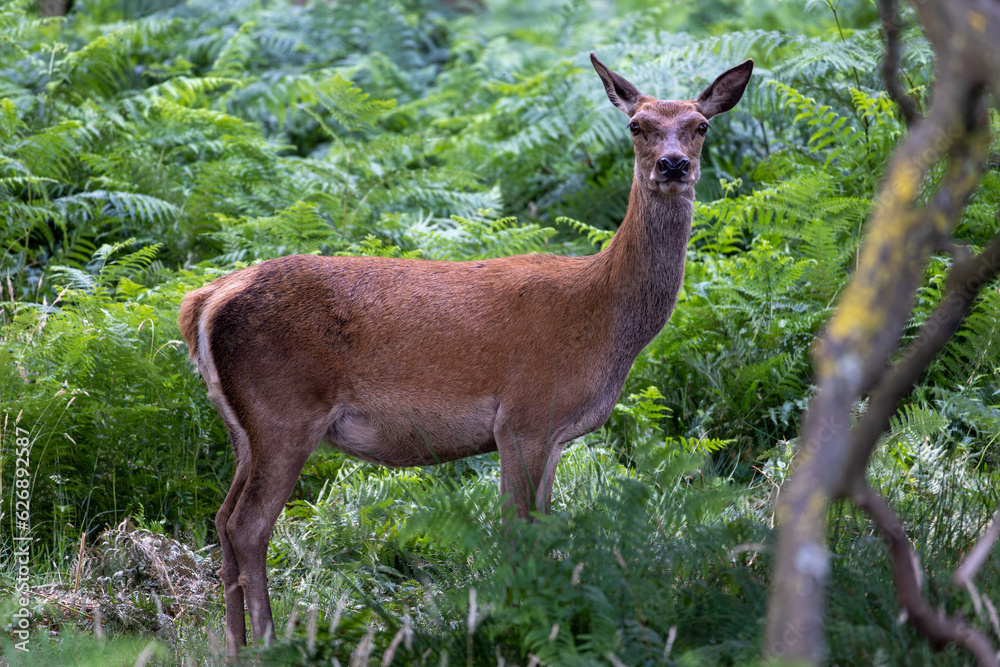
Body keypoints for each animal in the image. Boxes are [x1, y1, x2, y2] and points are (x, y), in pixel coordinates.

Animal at [178, 53, 752, 657]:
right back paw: (267, 643)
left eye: (700, 125)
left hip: (245, 426)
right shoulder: (524, 416)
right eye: (637, 125)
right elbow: (517, 533)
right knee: (248, 526)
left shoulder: (551, 433)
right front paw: (519, 628)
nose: (673, 164)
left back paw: (235, 645)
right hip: (283, 412)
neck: (603, 318)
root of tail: (202, 302)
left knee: (222, 519)